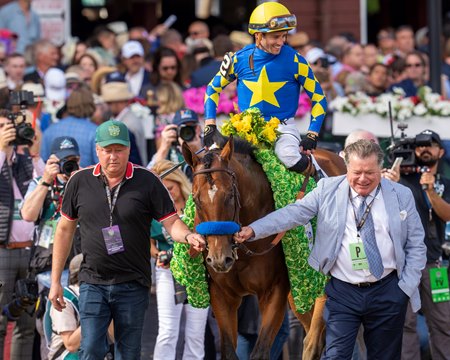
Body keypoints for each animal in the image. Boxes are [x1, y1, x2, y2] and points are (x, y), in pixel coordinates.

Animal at [181, 136, 346, 358]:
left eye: (230, 195)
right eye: (197, 199)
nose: (219, 259)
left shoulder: (274, 291)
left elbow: (260, 351)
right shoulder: (221, 295)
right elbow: (228, 350)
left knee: (313, 342)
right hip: (301, 291)